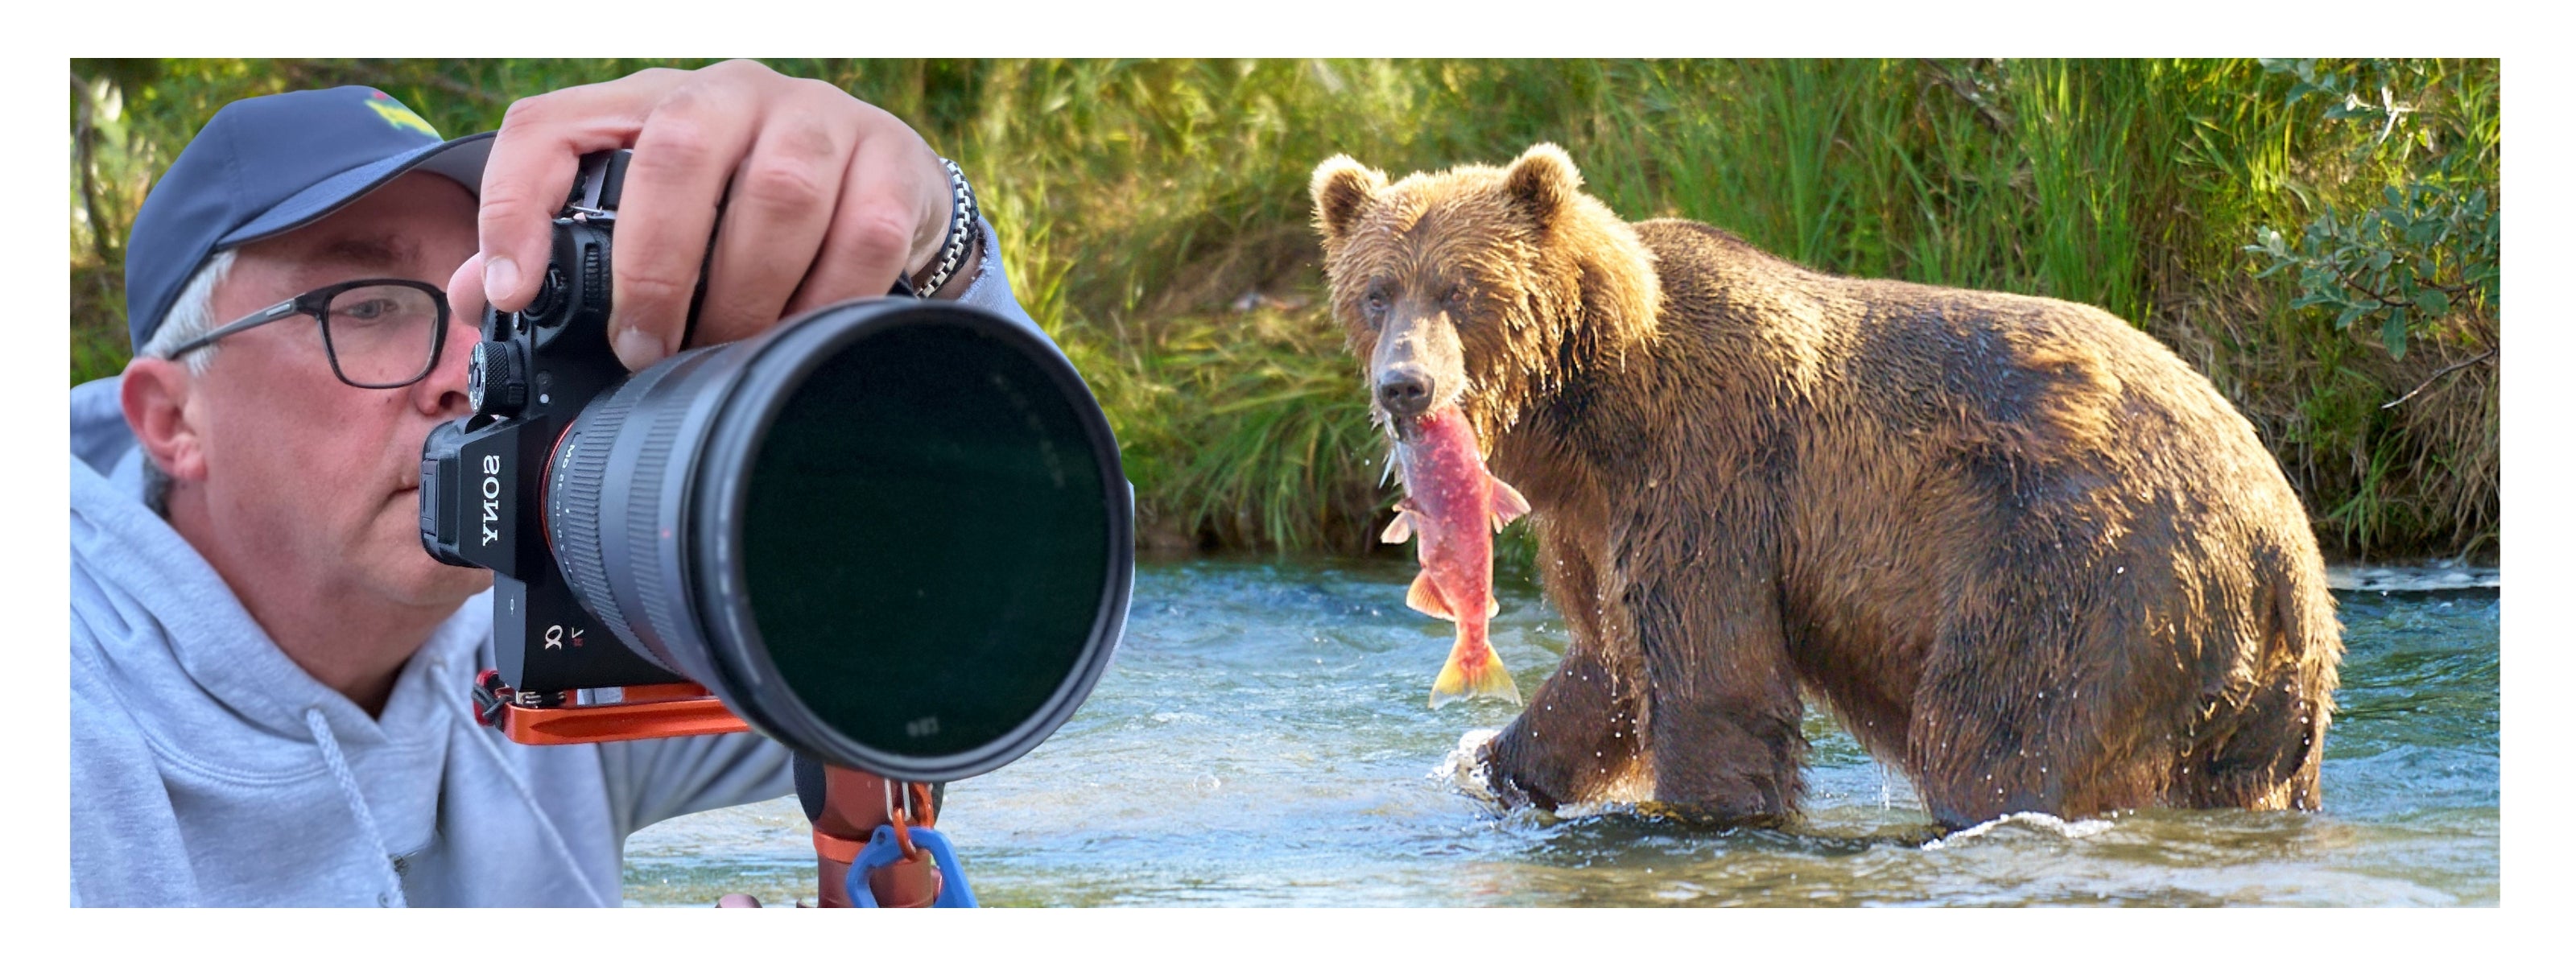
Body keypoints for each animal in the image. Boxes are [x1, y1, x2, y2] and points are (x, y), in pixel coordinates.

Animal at [1310, 143, 2344, 830]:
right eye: (1375, 291)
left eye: (1460, 289)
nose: (1404, 385)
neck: (1589, 408)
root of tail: (2283, 540)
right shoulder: (1593, 520)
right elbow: (1602, 666)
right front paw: (1498, 764)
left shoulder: (1707, 472)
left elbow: (1709, 677)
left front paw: (1707, 811)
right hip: (2255, 694)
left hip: (2080, 566)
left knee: (1994, 732)